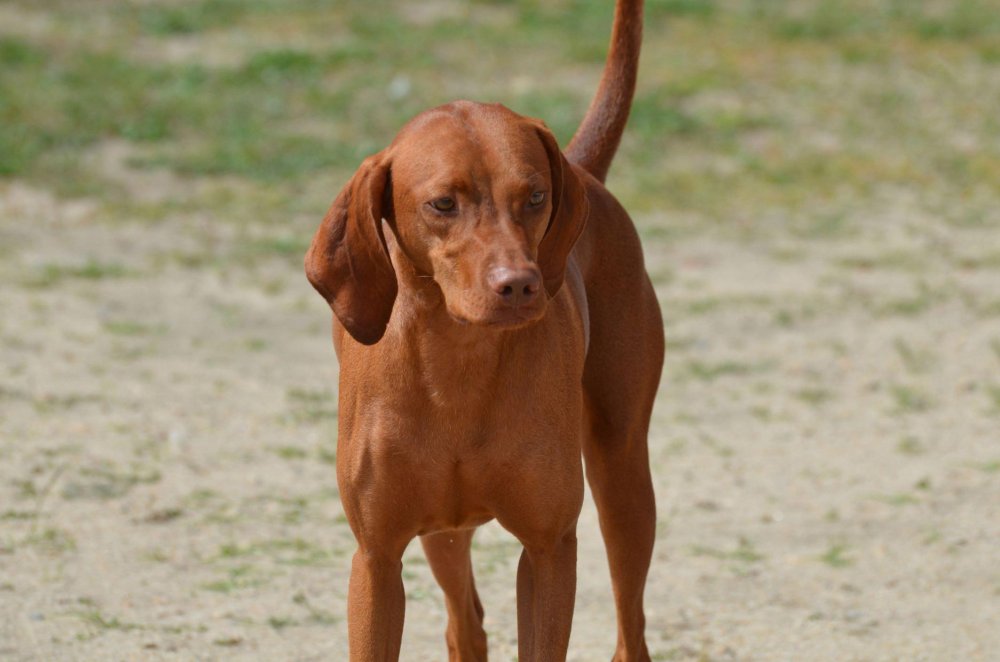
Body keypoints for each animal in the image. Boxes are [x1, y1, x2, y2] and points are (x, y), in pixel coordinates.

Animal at [304, 1, 664, 660]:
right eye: (443, 203)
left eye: (536, 196)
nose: (519, 284)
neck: (457, 362)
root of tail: (582, 166)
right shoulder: (377, 558)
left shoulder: (549, 548)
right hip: (443, 533)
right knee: (464, 623)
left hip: (622, 476)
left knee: (631, 626)